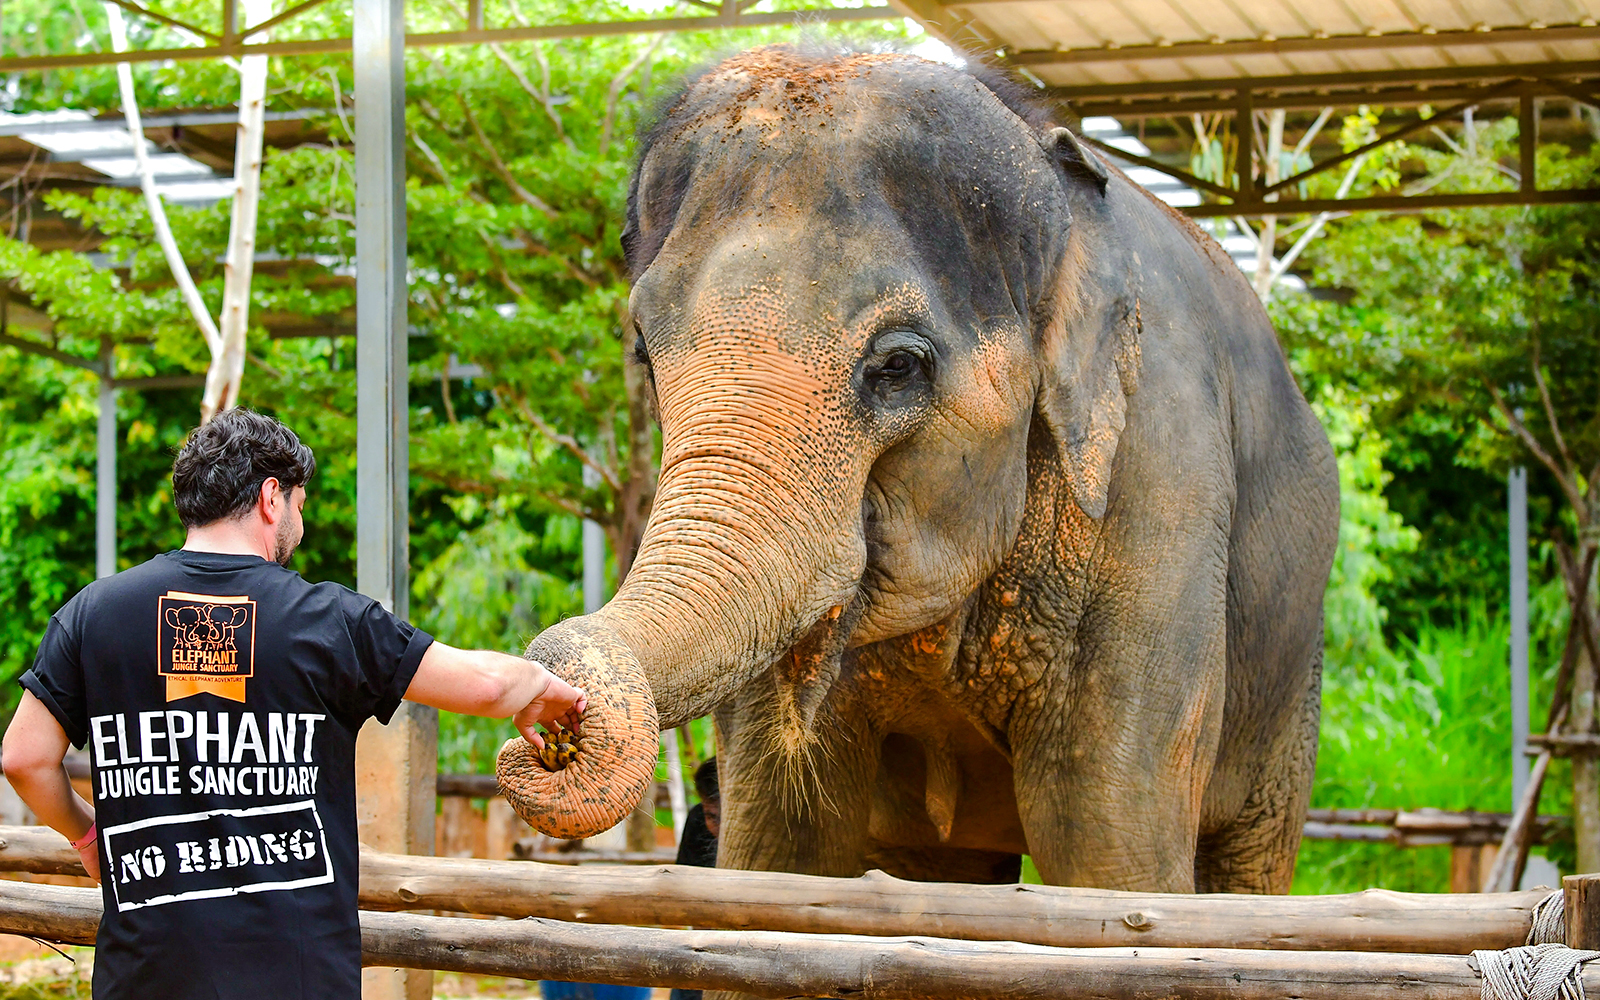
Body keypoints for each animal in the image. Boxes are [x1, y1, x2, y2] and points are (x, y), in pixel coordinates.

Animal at [498, 45, 1340, 895]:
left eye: (898, 366)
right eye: (643, 349)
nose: (547, 729)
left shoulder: (1159, 477)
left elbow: (1108, 839)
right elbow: (781, 844)